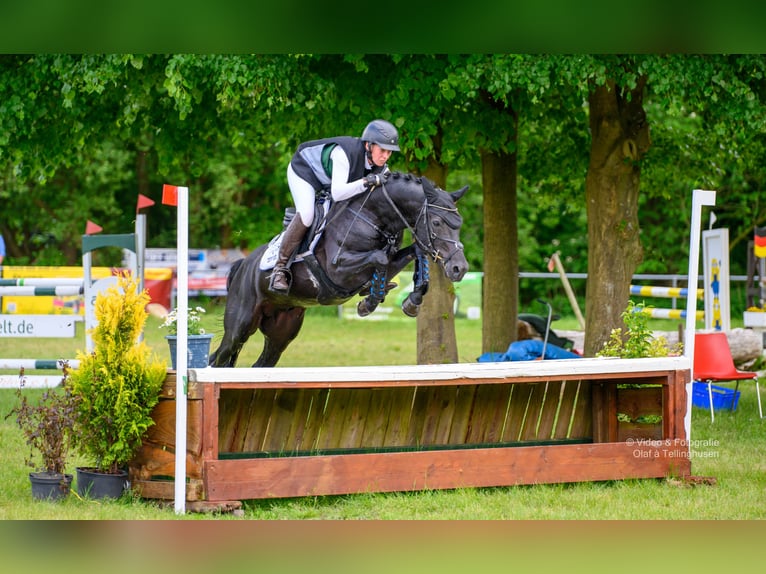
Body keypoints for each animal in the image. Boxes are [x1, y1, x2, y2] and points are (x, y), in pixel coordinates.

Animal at [212, 172, 474, 368]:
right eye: (437, 223)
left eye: (459, 224)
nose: (459, 269)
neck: (372, 217)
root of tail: (242, 266)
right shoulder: (337, 270)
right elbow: (379, 257)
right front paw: (369, 303)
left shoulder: (393, 259)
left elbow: (415, 252)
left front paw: (411, 301)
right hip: (240, 325)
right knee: (219, 358)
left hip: (281, 331)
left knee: (261, 364)